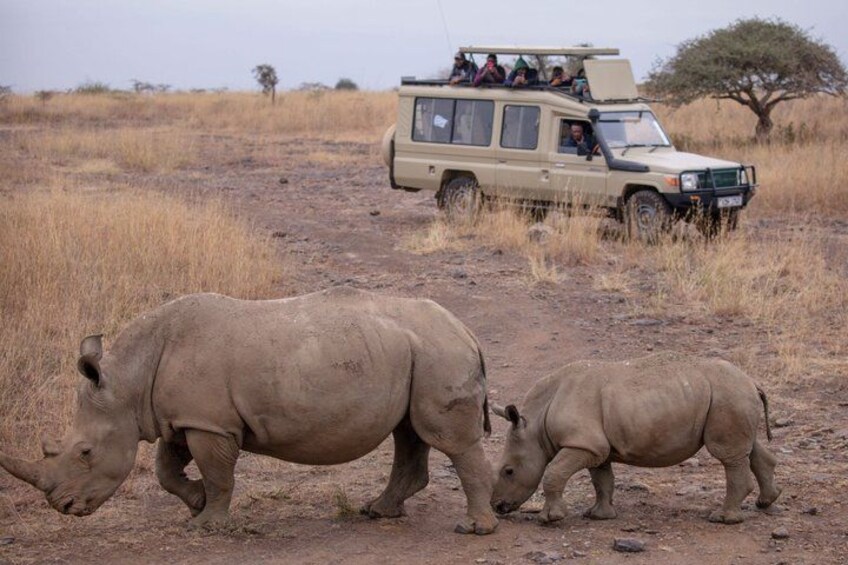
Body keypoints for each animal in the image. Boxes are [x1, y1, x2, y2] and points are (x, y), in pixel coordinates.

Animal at [0, 287, 498, 534]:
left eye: (84, 452)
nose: (63, 507)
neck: (128, 382)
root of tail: (466, 330)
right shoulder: (185, 417)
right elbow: (165, 470)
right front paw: (196, 504)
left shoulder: (211, 425)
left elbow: (219, 474)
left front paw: (207, 526)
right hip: (417, 352)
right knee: (409, 432)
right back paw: (377, 512)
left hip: (438, 353)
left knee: (447, 440)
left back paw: (473, 530)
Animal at [490, 353, 781, 525]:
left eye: (508, 471)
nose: (497, 507)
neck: (536, 425)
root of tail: (752, 381)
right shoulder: (595, 447)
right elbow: (602, 480)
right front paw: (599, 516)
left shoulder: (582, 443)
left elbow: (553, 473)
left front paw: (550, 519)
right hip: (732, 396)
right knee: (747, 449)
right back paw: (766, 502)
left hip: (727, 395)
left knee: (728, 455)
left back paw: (722, 519)